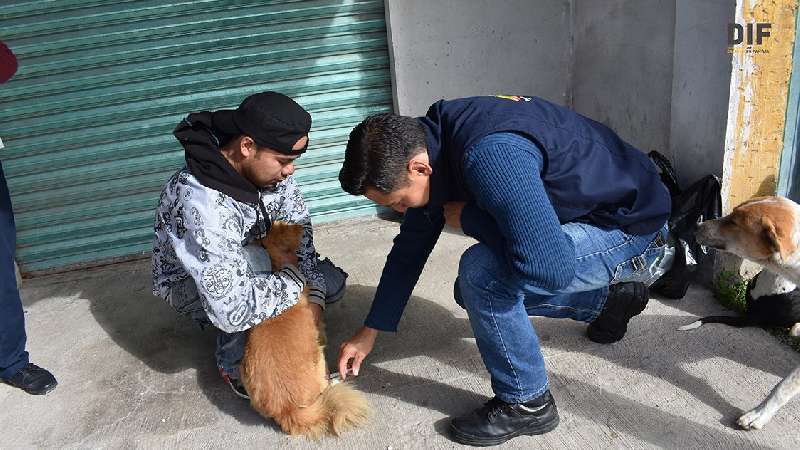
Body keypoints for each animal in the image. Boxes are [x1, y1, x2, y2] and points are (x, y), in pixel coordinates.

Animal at [688, 196, 800, 428]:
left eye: (734, 222)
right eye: (732, 214)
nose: (696, 225)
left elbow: (786, 385)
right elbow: (783, 385)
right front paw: (759, 414)